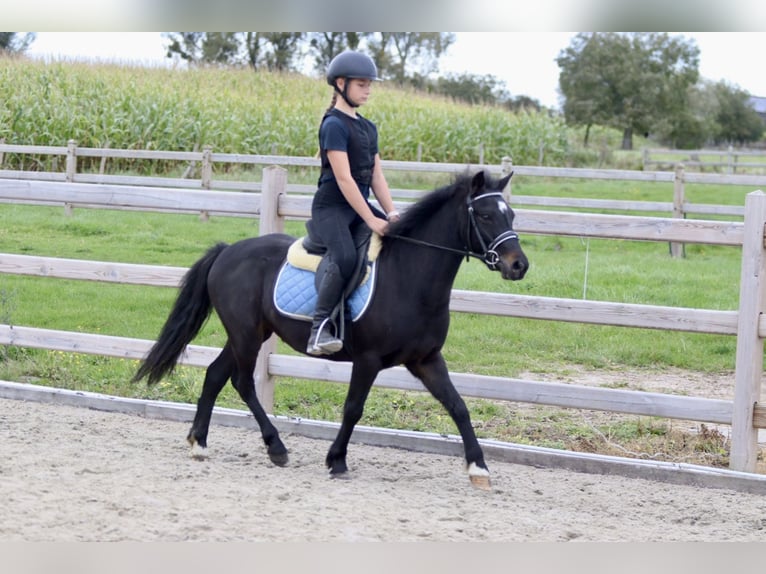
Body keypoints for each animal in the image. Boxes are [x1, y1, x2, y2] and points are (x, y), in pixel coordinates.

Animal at [134, 171, 528, 490]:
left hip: (250, 334)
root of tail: (228, 250)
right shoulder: (368, 360)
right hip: (246, 335)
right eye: (486, 215)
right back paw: (276, 447)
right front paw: (336, 460)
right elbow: (353, 408)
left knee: (216, 375)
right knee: (242, 382)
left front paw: (478, 468)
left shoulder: (426, 360)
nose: (518, 265)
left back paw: (199, 442)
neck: (409, 277)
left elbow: (458, 406)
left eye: (510, 214)